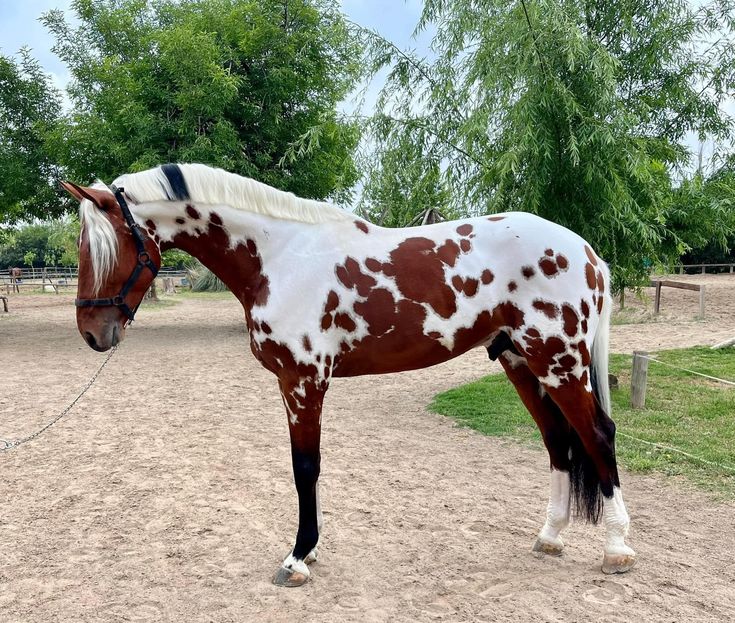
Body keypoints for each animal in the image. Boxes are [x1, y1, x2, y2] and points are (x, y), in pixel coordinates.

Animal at [61, 163, 640, 588]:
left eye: (106, 246)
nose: (93, 332)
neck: (280, 256)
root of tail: (587, 252)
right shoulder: (296, 381)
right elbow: (306, 469)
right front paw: (310, 551)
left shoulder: (303, 380)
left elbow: (305, 467)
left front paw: (297, 559)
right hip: (522, 363)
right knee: (558, 442)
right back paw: (551, 536)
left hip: (559, 362)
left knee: (597, 435)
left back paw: (616, 549)